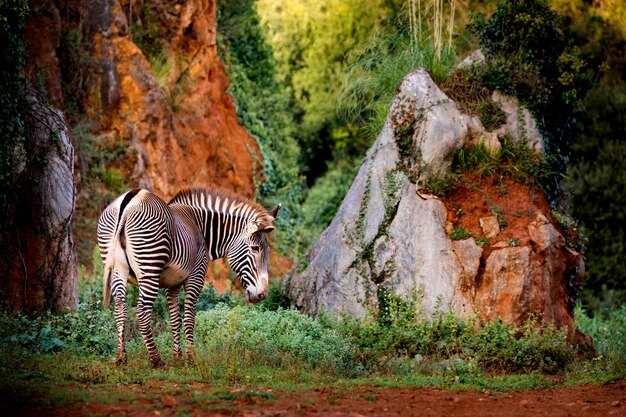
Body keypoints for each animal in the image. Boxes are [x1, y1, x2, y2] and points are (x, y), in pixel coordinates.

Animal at [97, 187, 278, 366]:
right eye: (255, 248)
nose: (262, 294)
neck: (201, 228)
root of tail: (129, 201)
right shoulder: (196, 276)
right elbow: (190, 318)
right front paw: (191, 358)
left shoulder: (172, 283)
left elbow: (175, 319)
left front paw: (177, 357)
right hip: (150, 267)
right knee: (141, 312)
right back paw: (156, 359)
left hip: (117, 268)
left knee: (120, 308)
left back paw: (121, 357)